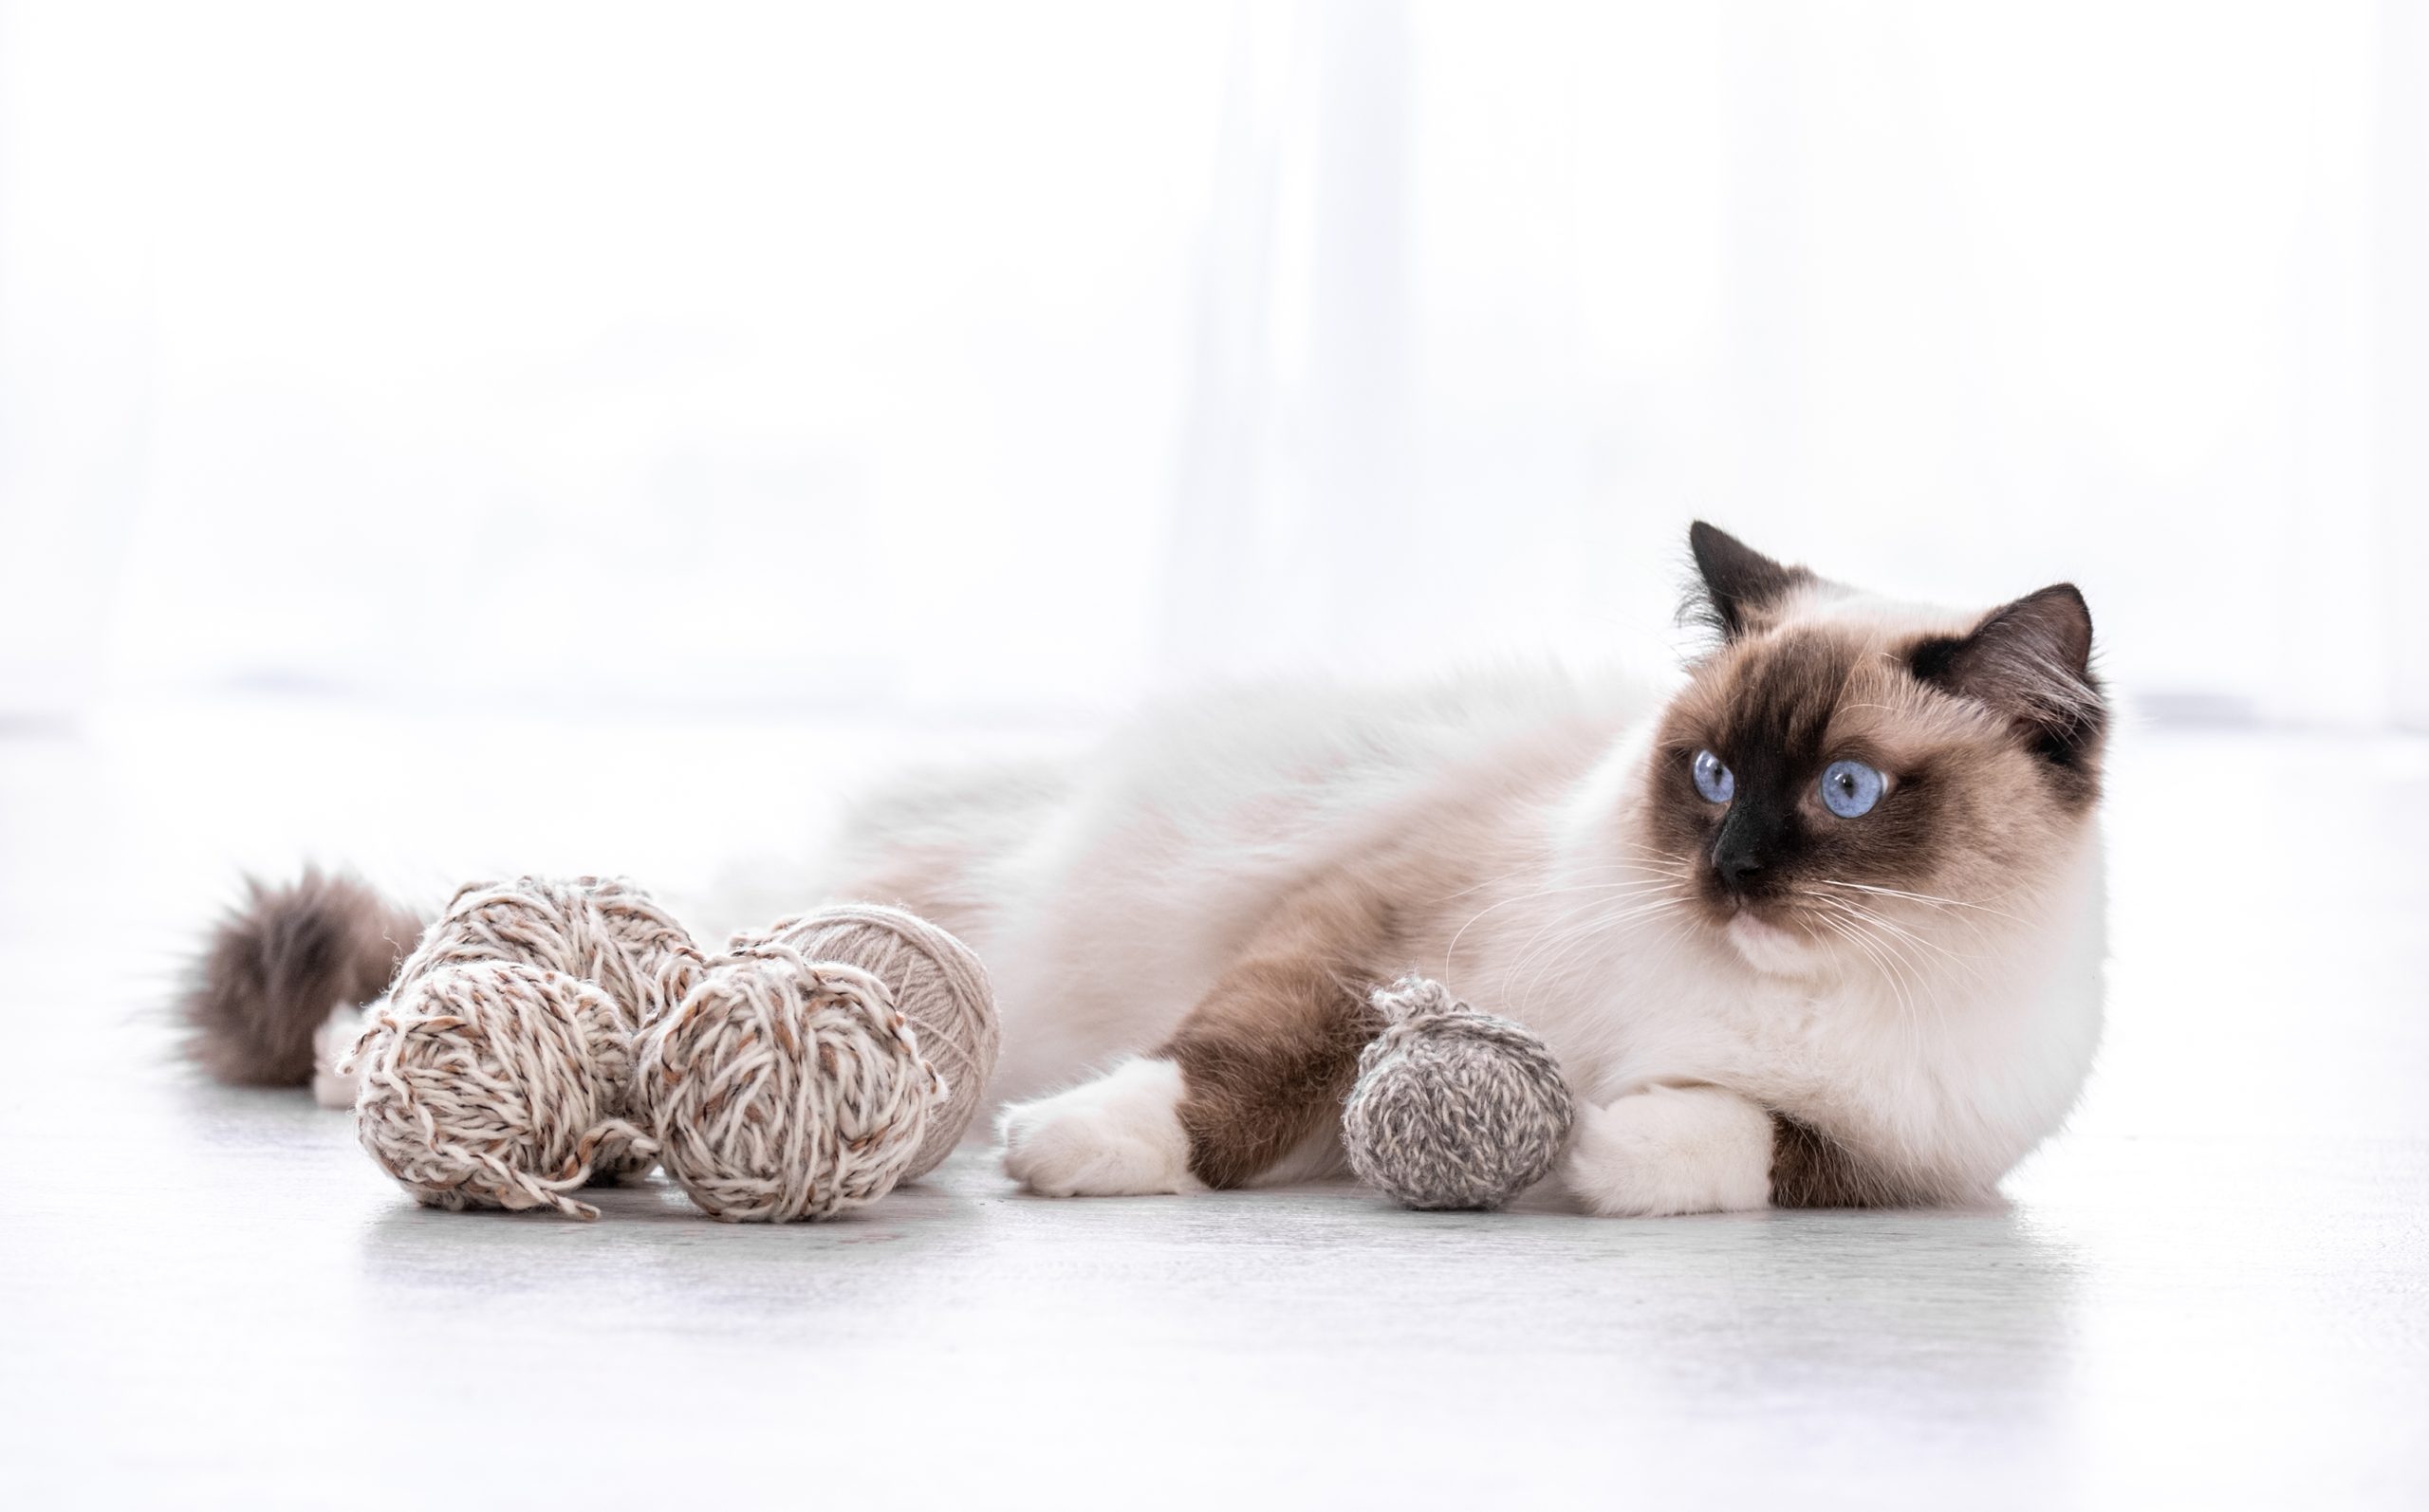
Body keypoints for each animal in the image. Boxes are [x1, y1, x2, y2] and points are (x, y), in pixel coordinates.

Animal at [184, 524, 2108, 1218]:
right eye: (1709, 771)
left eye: (1845, 789)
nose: (1727, 865)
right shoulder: (1359, 927)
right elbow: (1229, 1069)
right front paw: (1083, 1150)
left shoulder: (1897, 1154)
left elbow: (1722, 1140)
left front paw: (1604, 1143)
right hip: (797, 934)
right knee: (538, 985)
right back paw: (401, 1061)